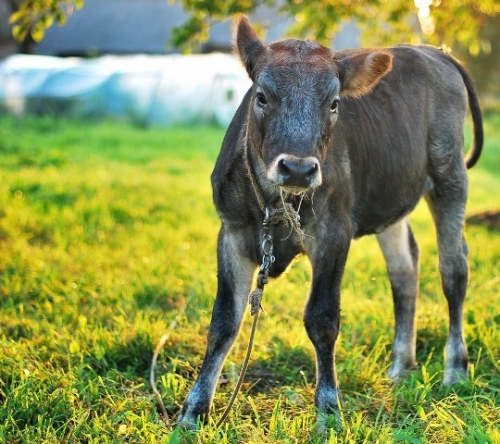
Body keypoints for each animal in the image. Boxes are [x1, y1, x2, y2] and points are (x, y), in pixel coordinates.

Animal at [177, 15, 484, 428]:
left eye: (334, 103)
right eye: (262, 96)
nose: (298, 167)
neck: (277, 202)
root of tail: (435, 52)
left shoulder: (334, 233)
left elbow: (321, 319)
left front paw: (328, 409)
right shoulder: (232, 232)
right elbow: (224, 320)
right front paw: (194, 411)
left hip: (450, 176)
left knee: (453, 270)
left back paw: (455, 370)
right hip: (389, 197)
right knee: (404, 271)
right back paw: (401, 366)